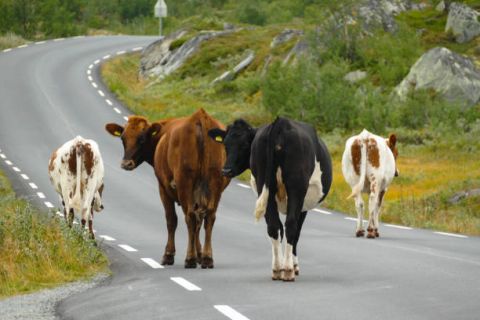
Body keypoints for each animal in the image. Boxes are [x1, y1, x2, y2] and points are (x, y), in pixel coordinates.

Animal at [106, 109, 230, 268]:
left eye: (142, 139)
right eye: (122, 139)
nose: (126, 164)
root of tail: (200, 117)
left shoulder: (163, 187)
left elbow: (171, 220)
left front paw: (169, 255)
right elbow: (198, 222)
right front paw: (200, 253)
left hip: (185, 182)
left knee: (189, 217)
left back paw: (189, 259)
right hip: (216, 183)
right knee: (209, 217)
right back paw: (207, 258)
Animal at [208, 117, 332, 280]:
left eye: (245, 145)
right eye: (226, 144)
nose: (226, 170)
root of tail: (280, 122)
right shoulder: (303, 204)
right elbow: (296, 232)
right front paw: (294, 265)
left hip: (265, 186)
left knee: (273, 226)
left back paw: (277, 269)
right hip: (296, 187)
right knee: (290, 225)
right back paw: (288, 271)